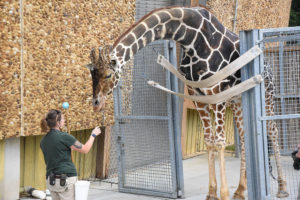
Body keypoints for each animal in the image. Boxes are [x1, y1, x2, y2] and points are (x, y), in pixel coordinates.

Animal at [84, 6, 288, 200]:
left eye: (108, 74)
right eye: (91, 74)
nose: (96, 103)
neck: (191, 38)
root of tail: (268, 65)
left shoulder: (217, 93)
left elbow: (220, 142)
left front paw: (223, 194)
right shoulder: (198, 96)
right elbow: (209, 141)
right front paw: (211, 193)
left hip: (266, 95)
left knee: (273, 130)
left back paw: (282, 188)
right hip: (237, 100)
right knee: (245, 136)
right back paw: (240, 190)